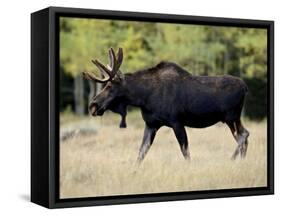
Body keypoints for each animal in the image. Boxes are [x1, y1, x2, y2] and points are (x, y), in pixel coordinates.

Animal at [82, 47, 248, 162]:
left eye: (110, 86)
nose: (93, 105)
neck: (143, 98)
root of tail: (245, 87)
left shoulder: (177, 122)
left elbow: (186, 152)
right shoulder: (151, 124)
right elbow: (141, 153)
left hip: (231, 116)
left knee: (243, 135)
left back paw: (232, 160)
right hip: (233, 118)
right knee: (244, 135)